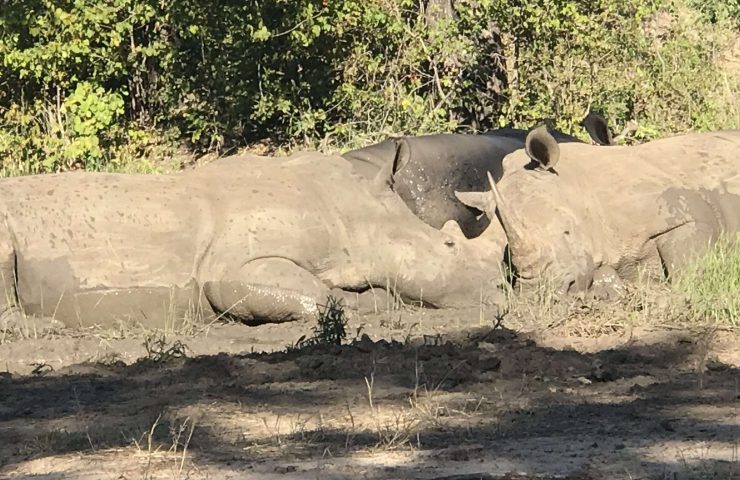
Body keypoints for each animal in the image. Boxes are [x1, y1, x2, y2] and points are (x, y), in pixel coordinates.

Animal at [0, 151, 506, 330]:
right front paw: (375, 304)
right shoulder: (233, 266)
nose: (501, 291)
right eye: (449, 248)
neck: (354, 211)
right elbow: (306, 291)